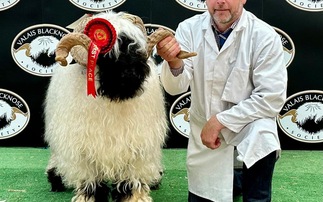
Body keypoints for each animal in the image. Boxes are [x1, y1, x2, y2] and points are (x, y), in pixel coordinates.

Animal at [41, 11, 196, 202]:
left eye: (136, 47)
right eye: (104, 54)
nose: (131, 74)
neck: (115, 98)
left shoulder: (136, 141)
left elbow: (131, 173)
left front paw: (134, 196)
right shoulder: (83, 143)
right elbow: (89, 174)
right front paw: (89, 196)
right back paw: (55, 178)